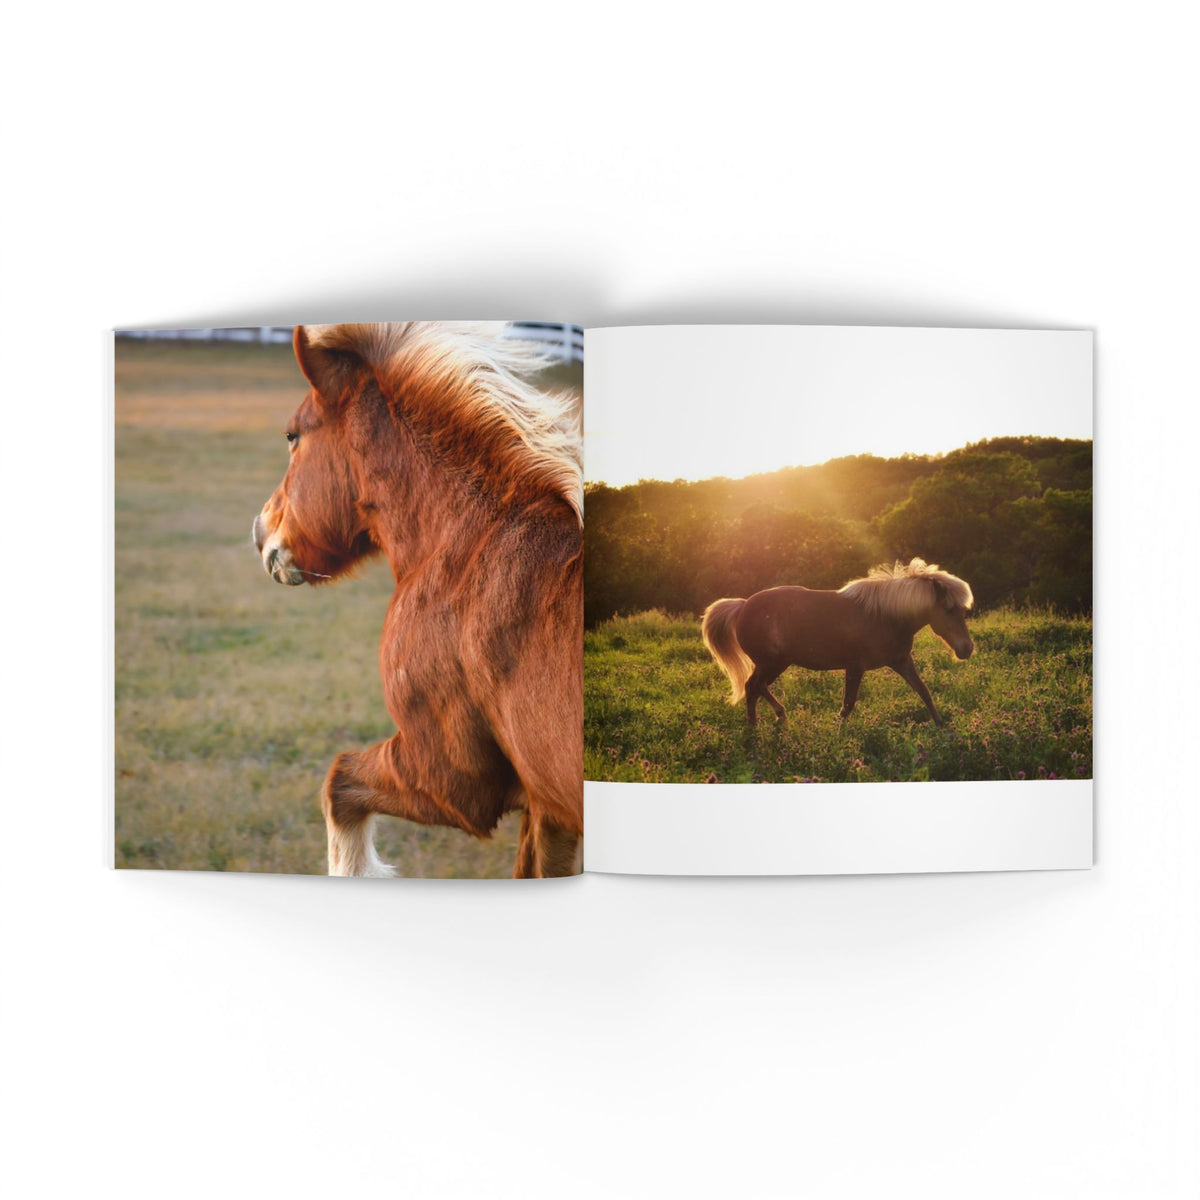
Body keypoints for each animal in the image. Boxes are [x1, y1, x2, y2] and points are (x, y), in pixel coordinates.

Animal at [252, 324, 583, 878]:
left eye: (293, 435)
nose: (261, 532)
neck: (469, 543)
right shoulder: (548, 807)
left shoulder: (448, 781)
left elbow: (338, 784)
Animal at [701, 558, 974, 727]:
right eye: (949, 609)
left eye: (963, 610)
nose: (967, 649)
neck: (885, 616)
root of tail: (742, 605)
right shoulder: (855, 667)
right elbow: (848, 704)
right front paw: (837, 731)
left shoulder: (902, 661)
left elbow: (924, 692)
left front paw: (941, 726)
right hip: (771, 663)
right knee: (752, 687)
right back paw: (753, 728)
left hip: (777, 664)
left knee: (758, 688)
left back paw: (779, 716)